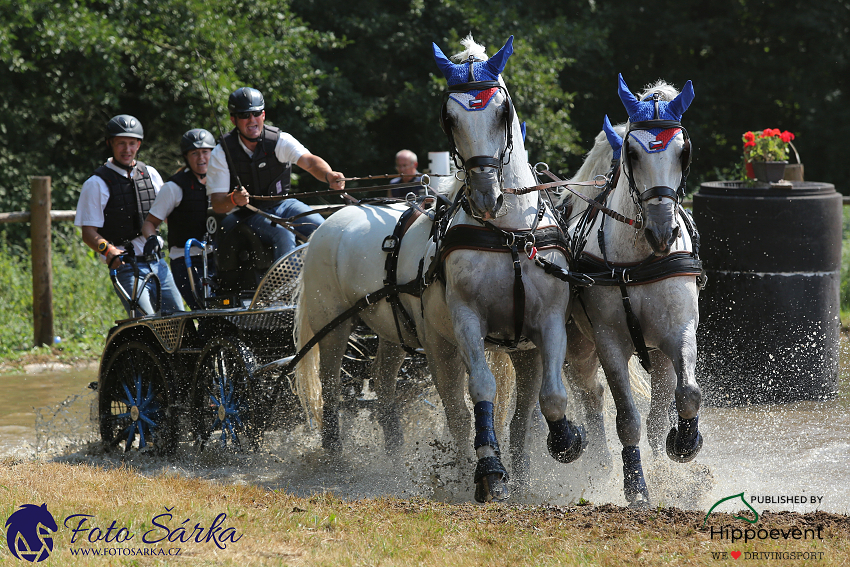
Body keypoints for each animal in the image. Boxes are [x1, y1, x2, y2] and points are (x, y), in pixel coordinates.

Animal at [294, 35, 588, 504]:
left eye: (502, 111)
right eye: (449, 118)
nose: (487, 194)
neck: (506, 234)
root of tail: (329, 222)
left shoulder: (547, 323)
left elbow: (550, 397)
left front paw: (563, 443)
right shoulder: (466, 322)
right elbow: (480, 391)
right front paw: (490, 472)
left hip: (398, 333)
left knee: (387, 388)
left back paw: (399, 457)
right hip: (346, 327)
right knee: (341, 389)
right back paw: (339, 455)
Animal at [564, 75, 704, 506]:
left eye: (683, 151)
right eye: (633, 153)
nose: (663, 232)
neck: (641, 258)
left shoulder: (679, 332)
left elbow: (686, 395)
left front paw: (683, 445)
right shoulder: (609, 341)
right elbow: (627, 417)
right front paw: (636, 485)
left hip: (656, 354)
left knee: (658, 410)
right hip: (578, 344)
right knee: (590, 394)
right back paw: (600, 465)